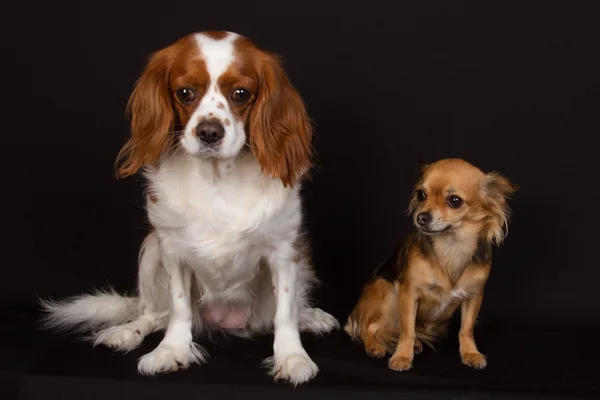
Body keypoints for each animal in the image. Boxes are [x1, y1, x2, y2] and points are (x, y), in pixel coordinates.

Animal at [41, 31, 338, 384]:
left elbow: (285, 313)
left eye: (241, 94)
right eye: (185, 93)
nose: (209, 132)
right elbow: (179, 309)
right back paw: (126, 332)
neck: (218, 180)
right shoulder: (172, 249)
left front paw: (292, 357)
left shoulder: (283, 251)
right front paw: (172, 350)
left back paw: (310, 316)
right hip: (150, 250)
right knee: (154, 313)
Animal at [344, 159, 516, 372]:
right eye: (421, 195)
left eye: (455, 201)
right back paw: (374, 346)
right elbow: (407, 330)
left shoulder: (474, 295)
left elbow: (466, 329)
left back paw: (416, 344)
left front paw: (470, 353)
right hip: (387, 289)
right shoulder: (408, 293)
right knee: (369, 328)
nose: (421, 217)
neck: (452, 247)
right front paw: (402, 356)